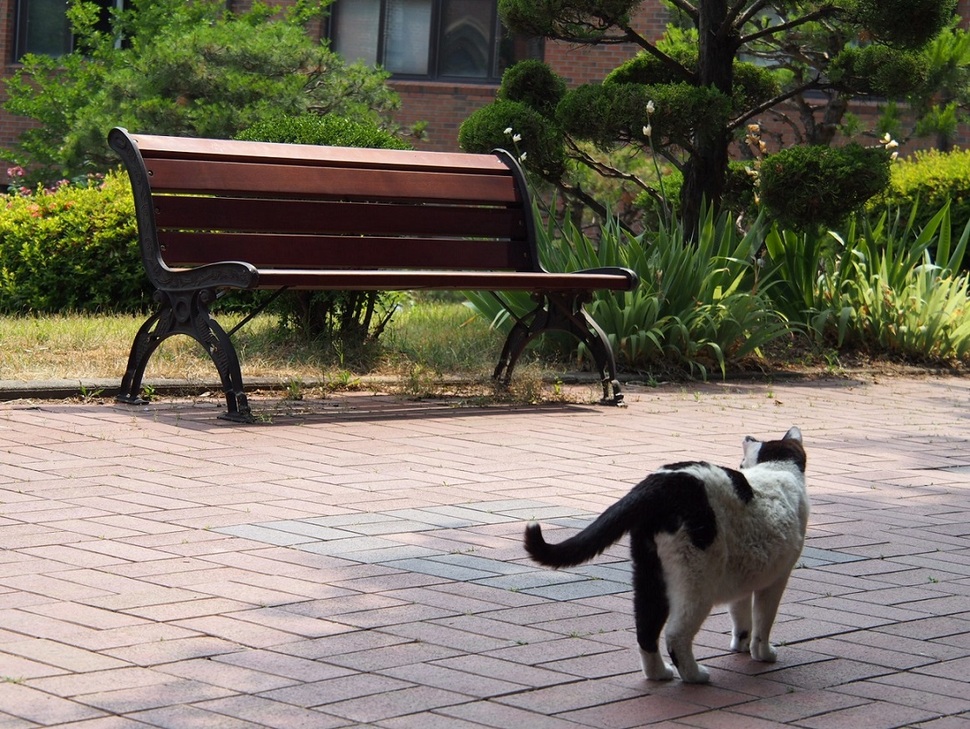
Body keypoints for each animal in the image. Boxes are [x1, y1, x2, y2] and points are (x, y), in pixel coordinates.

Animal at [524, 426, 804, 684]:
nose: (748, 436)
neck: (777, 467)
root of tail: (658, 483)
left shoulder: (747, 577)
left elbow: (741, 616)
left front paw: (742, 646)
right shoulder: (777, 578)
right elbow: (764, 621)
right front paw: (763, 653)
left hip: (650, 578)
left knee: (646, 629)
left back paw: (659, 674)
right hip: (696, 582)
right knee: (675, 635)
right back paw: (695, 676)